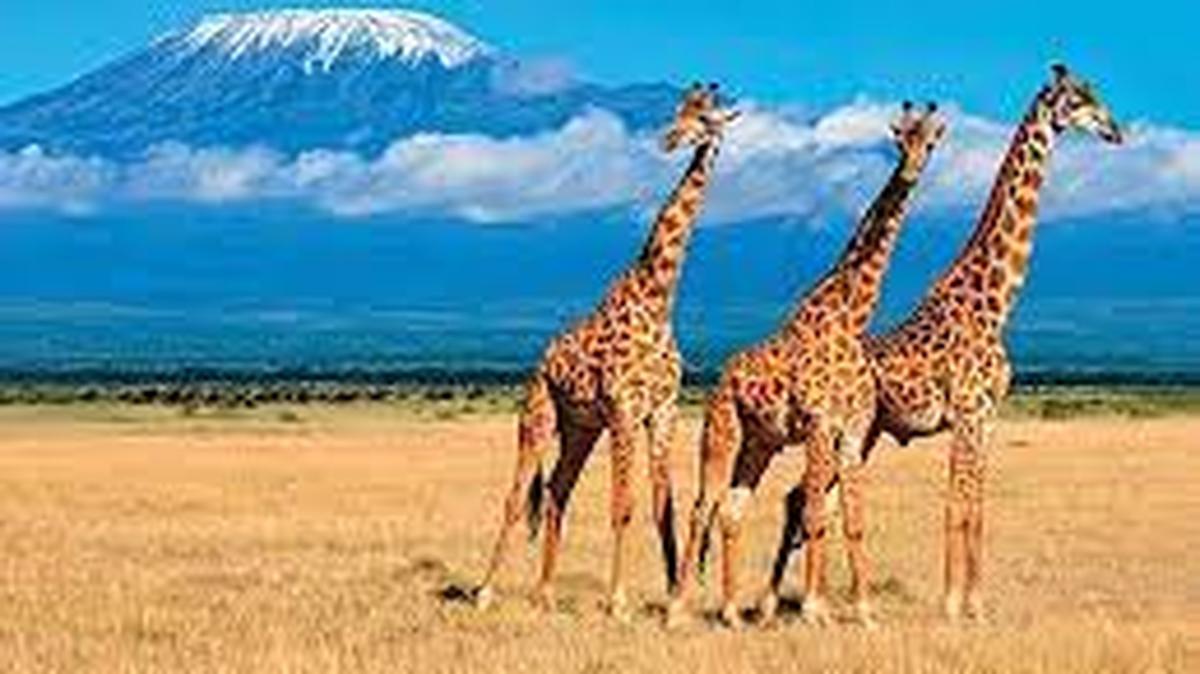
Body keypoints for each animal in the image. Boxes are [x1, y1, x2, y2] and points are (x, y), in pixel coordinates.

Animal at [475, 83, 739, 620]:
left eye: (705, 119)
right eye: (677, 113)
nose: (668, 139)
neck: (659, 300)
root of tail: (541, 362)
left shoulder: (662, 411)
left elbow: (662, 505)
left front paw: (674, 595)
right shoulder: (624, 409)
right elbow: (624, 505)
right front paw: (617, 600)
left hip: (581, 427)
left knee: (556, 491)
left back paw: (545, 593)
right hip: (539, 415)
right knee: (516, 497)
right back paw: (485, 592)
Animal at [666, 101, 947, 629]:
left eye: (931, 142)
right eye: (899, 139)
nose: (911, 172)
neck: (850, 319)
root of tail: (722, 377)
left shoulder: (852, 433)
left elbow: (852, 520)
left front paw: (864, 611)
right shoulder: (819, 426)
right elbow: (815, 514)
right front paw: (816, 610)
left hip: (761, 443)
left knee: (732, 510)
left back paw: (732, 612)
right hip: (722, 431)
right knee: (702, 506)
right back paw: (677, 609)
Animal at [767, 64, 1123, 623]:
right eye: (1080, 97)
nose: (1116, 130)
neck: (995, 303)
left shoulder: (990, 416)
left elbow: (978, 507)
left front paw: (977, 602)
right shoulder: (966, 411)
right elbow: (956, 504)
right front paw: (955, 603)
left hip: (862, 435)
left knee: (802, 498)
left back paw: (792, 600)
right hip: (842, 430)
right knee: (805, 499)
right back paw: (800, 602)